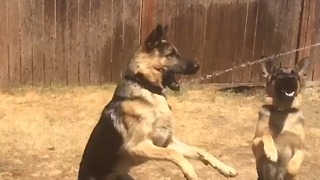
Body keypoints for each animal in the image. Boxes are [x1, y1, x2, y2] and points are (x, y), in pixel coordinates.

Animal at [77, 24, 238, 180]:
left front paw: (225, 168)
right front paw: (190, 171)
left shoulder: (168, 142)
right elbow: (173, 154)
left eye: (177, 53)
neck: (146, 87)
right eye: (170, 54)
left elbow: (200, 150)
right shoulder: (138, 146)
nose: (197, 66)